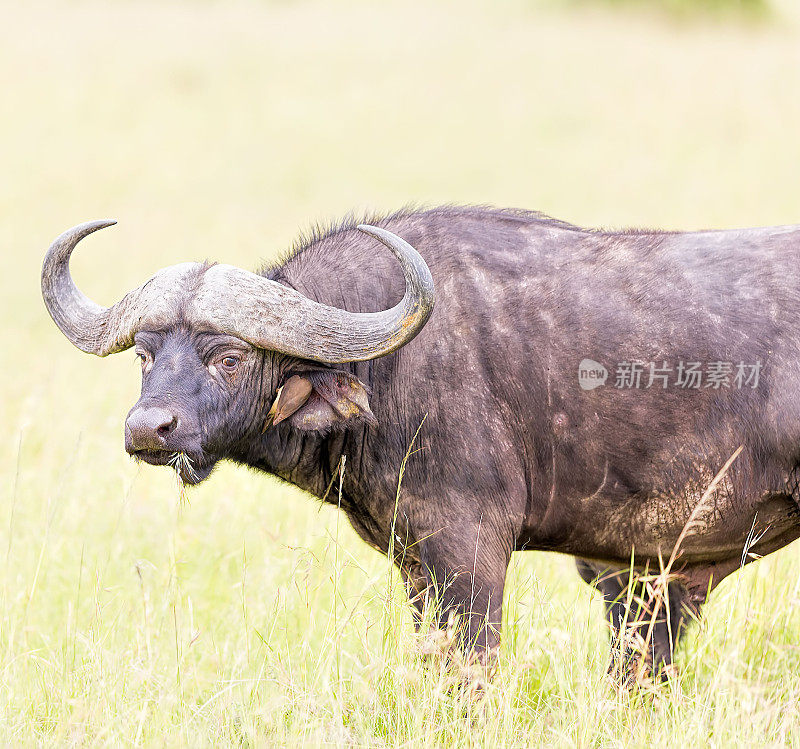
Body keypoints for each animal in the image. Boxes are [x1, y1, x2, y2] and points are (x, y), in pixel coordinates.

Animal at [40, 209, 800, 676]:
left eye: (229, 357)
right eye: (145, 354)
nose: (148, 429)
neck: (388, 370)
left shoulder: (470, 554)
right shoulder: (417, 565)